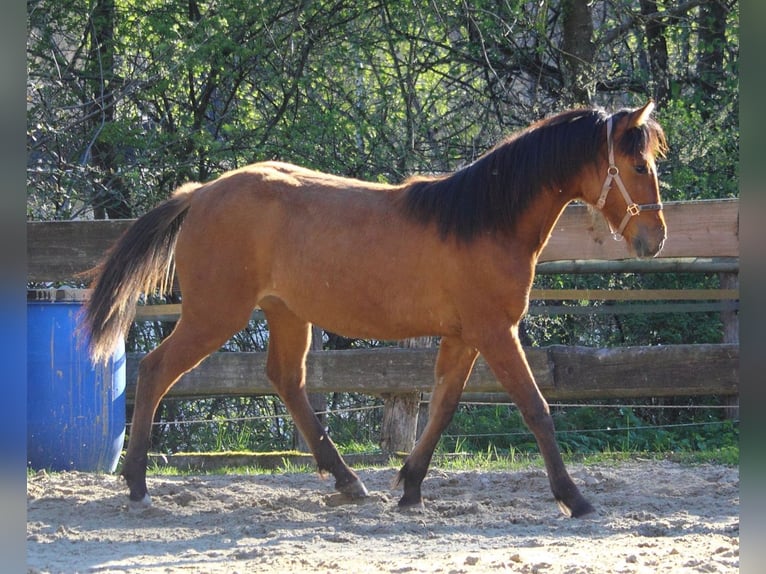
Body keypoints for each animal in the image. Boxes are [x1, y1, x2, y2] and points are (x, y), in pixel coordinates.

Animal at [82, 101, 667, 518]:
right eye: (638, 165)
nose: (655, 239)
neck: (484, 219)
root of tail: (201, 193)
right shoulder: (496, 331)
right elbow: (536, 408)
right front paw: (575, 498)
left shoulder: (464, 336)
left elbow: (443, 406)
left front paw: (409, 486)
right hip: (215, 315)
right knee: (155, 369)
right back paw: (137, 484)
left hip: (285, 313)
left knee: (287, 380)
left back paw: (348, 481)